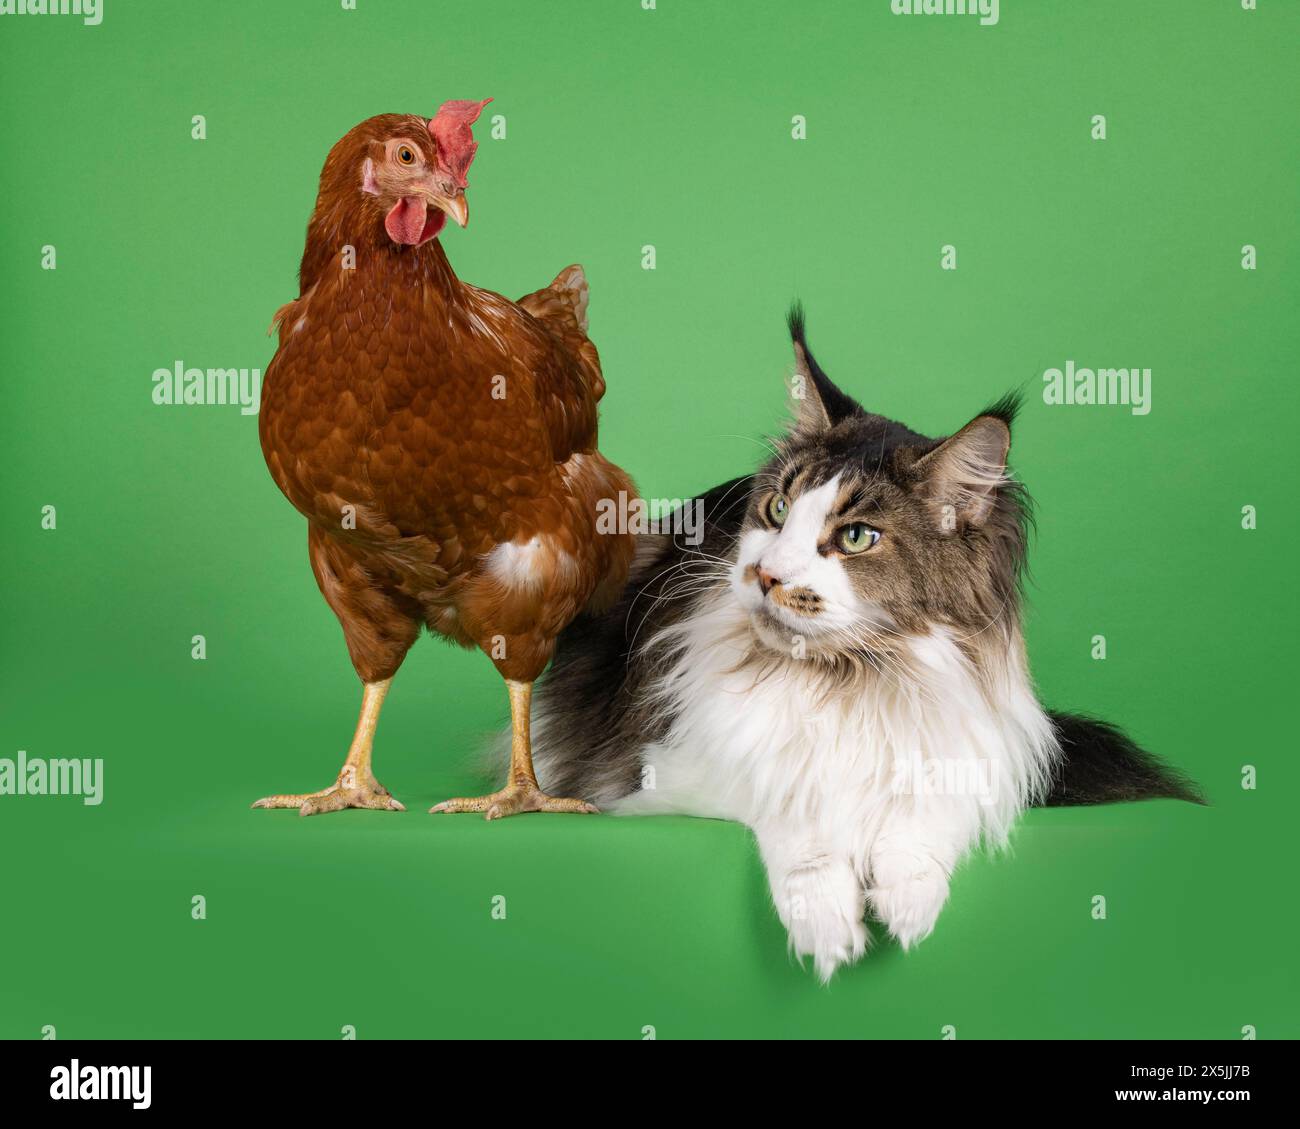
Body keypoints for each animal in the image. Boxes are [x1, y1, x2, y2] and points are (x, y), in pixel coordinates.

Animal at [527, 308, 1196, 978]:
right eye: (777, 509)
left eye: (856, 537)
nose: (764, 574)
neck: (855, 677)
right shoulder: (659, 775)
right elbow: (796, 805)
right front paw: (825, 919)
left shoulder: (983, 755)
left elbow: (927, 810)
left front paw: (909, 896)